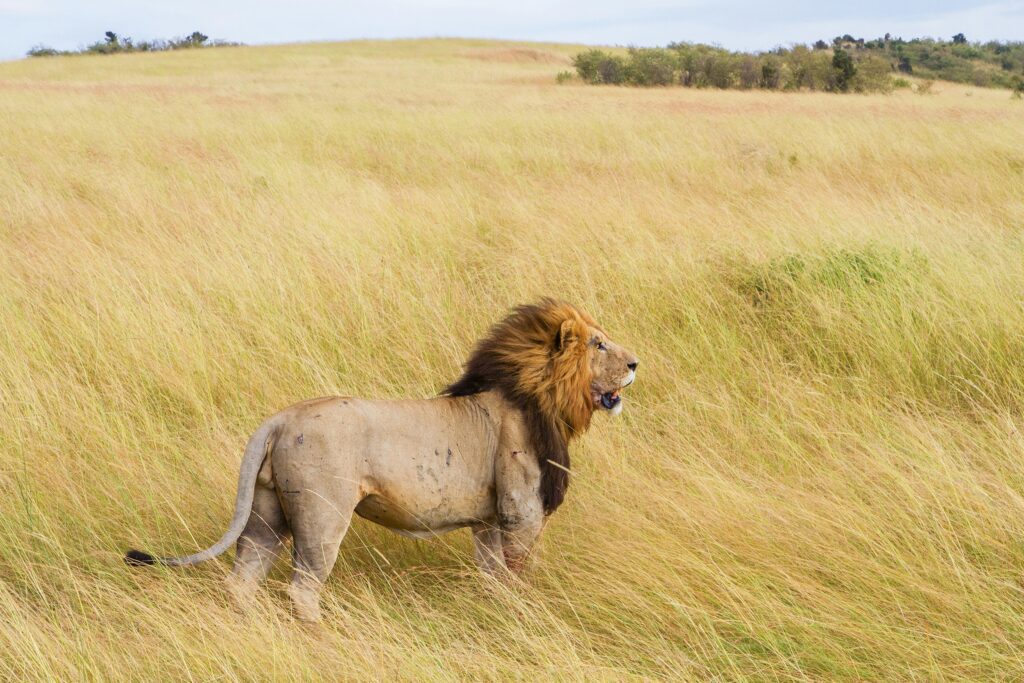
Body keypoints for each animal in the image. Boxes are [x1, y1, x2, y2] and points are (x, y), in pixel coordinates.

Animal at [125, 296, 638, 618]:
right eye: (598, 344)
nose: (635, 364)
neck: (541, 397)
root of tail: (280, 419)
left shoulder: (489, 520)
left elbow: (493, 577)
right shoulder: (520, 511)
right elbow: (517, 574)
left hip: (267, 513)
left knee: (242, 581)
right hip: (322, 516)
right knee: (302, 589)